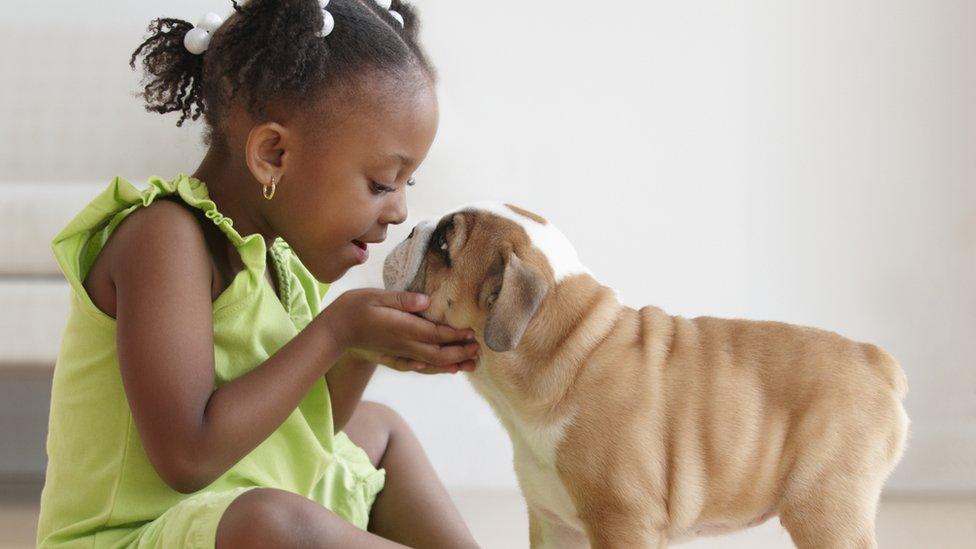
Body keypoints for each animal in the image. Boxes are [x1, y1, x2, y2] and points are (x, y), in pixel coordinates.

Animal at [382, 202, 908, 548]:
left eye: (444, 245)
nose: (408, 230)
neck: (567, 346)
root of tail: (875, 359)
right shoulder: (555, 524)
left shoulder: (623, 522)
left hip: (824, 506)